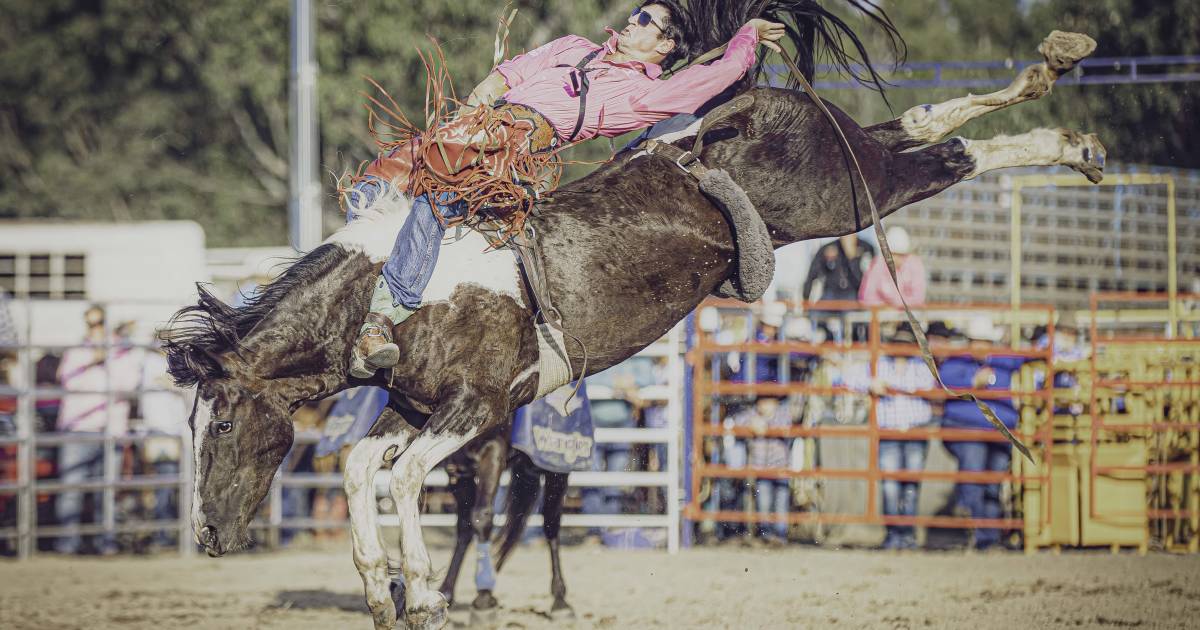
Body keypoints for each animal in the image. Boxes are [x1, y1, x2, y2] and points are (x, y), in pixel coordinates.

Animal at [162, 2, 1104, 624]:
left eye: (219, 425)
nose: (206, 535)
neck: (390, 298)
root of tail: (735, 111)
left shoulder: (477, 408)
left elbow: (397, 478)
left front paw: (424, 590)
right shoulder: (427, 410)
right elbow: (365, 467)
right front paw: (380, 586)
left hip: (839, 194)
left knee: (948, 156)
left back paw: (1071, 139)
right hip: (847, 170)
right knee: (916, 123)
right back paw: (1055, 82)